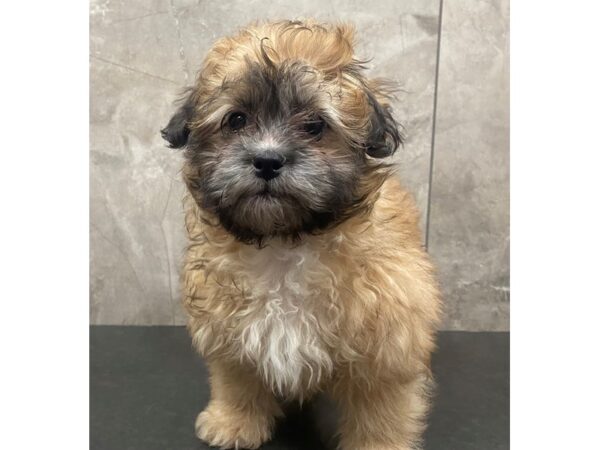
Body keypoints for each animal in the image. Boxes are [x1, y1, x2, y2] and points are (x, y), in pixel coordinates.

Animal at [162, 20, 442, 450]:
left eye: (314, 126)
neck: (285, 240)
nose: (267, 160)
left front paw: (378, 443)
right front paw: (233, 422)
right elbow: (237, 382)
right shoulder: (230, 337)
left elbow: (380, 409)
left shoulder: (386, 347)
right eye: (236, 120)